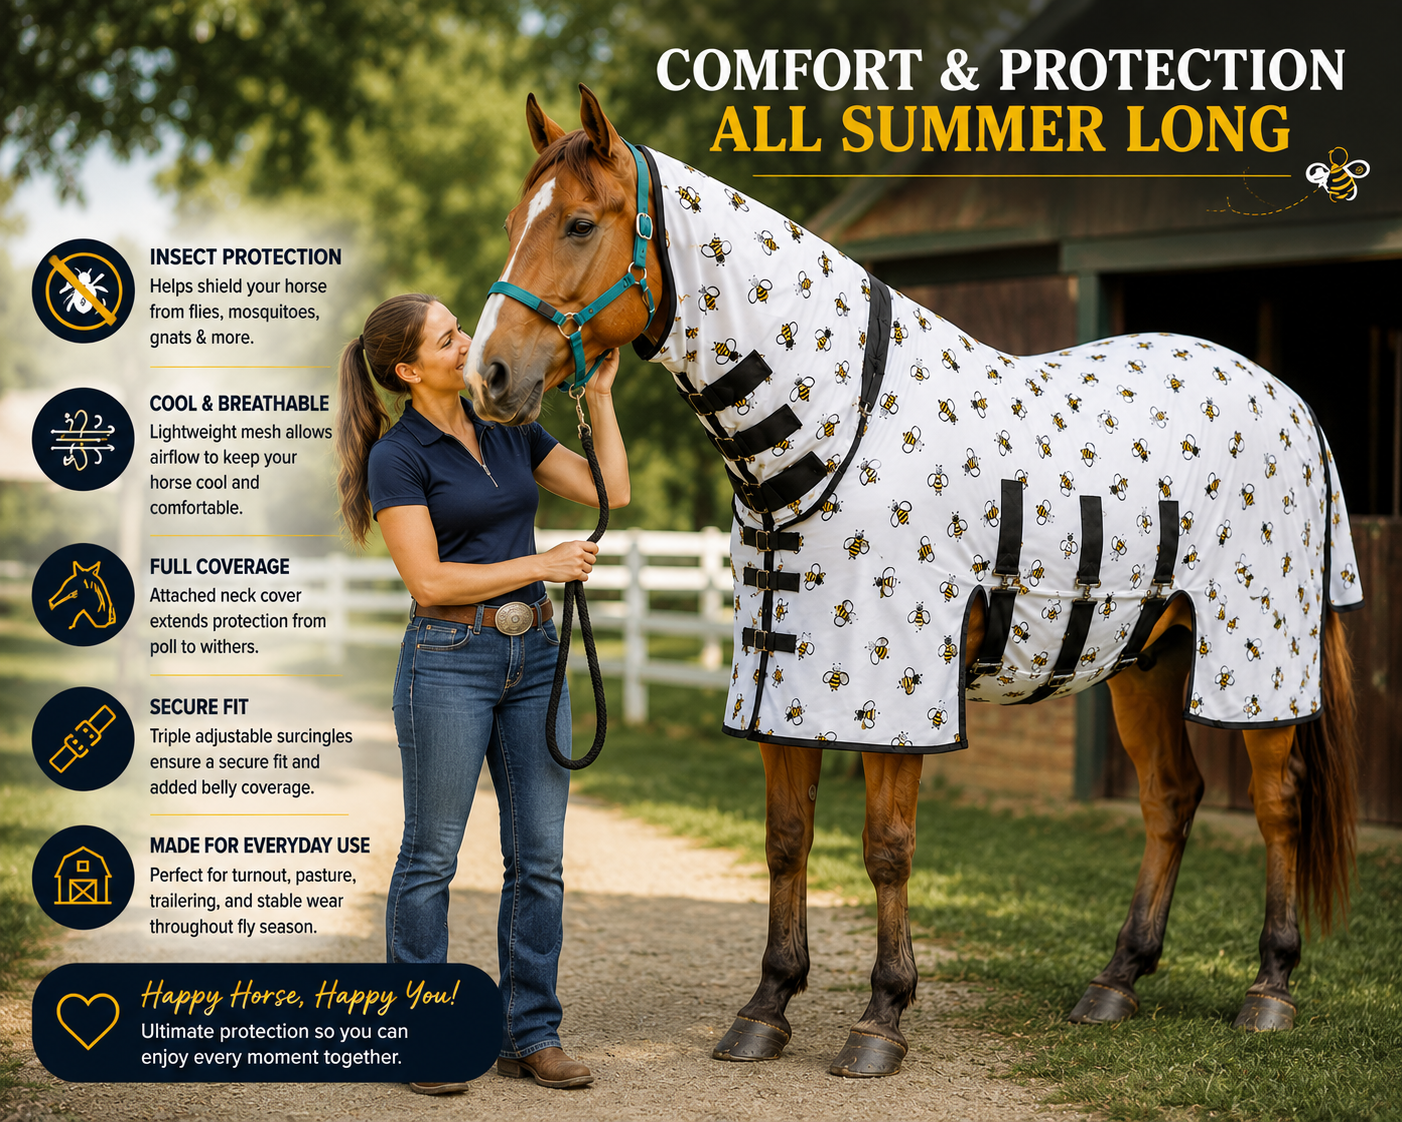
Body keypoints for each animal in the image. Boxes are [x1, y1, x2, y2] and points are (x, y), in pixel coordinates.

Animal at [464, 85, 1362, 1078]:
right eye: (512, 223)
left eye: (581, 223)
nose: (487, 374)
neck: (835, 428)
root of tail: (1293, 402)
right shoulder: (784, 683)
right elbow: (787, 841)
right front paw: (766, 1007)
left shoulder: (896, 695)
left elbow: (886, 848)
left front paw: (881, 1017)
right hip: (1147, 657)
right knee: (1170, 799)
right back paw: (1115, 982)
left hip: (1257, 663)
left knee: (1279, 803)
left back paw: (1270, 990)